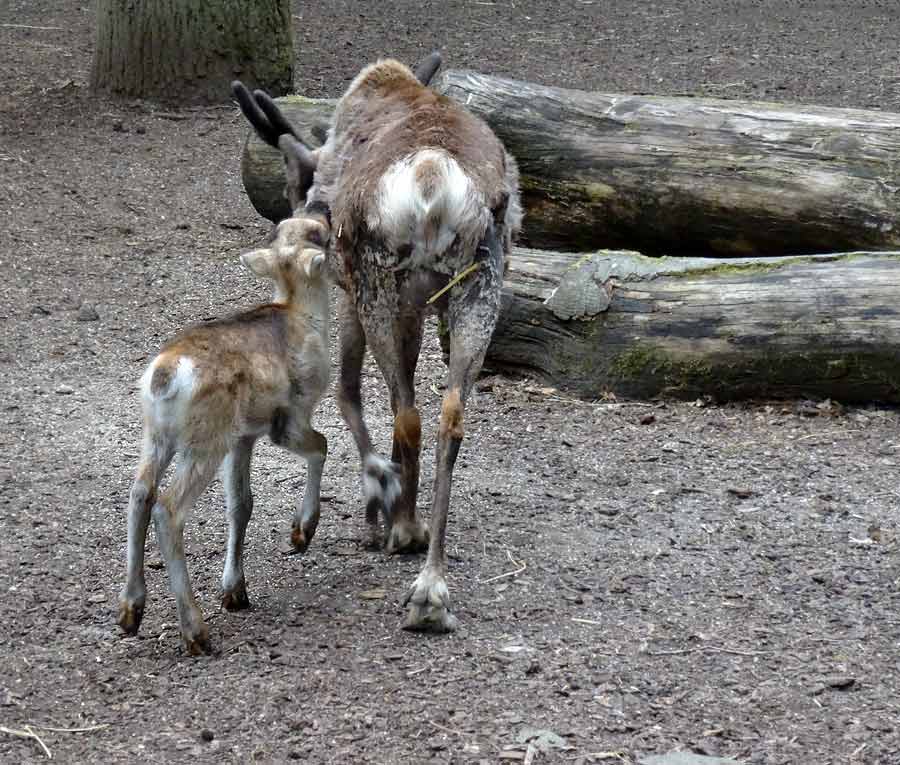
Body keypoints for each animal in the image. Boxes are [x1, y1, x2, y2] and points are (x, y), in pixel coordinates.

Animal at [118, 212, 330, 652]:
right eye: (320, 236)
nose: (324, 213)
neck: (302, 313)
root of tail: (165, 376)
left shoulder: (243, 437)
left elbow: (241, 504)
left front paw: (235, 591)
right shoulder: (290, 419)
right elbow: (321, 445)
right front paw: (301, 532)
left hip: (158, 436)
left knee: (140, 492)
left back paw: (130, 610)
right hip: (205, 442)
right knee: (168, 507)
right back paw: (195, 632)